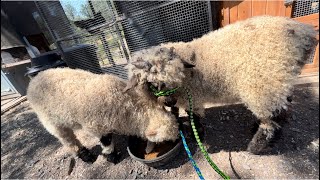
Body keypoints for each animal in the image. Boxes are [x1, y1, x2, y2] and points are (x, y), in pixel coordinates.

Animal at [26, 67, 179, 163]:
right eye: (164, 141)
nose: (177, 141)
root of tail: (34, 80)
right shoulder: (96, 125)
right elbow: (106, 141)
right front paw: (111, 156)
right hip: (51, 122)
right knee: (67, 140)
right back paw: (85, 155)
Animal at [124, 15, 318, 154]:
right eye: (151, 83)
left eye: (175, 78)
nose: (169, 101)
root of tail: (305, 34)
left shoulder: (193, 97)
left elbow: (195, 118)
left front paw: (197, 136)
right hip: (278, 83)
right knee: (283, 109)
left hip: (263, 86)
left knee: (271, 121)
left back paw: (256, 146)